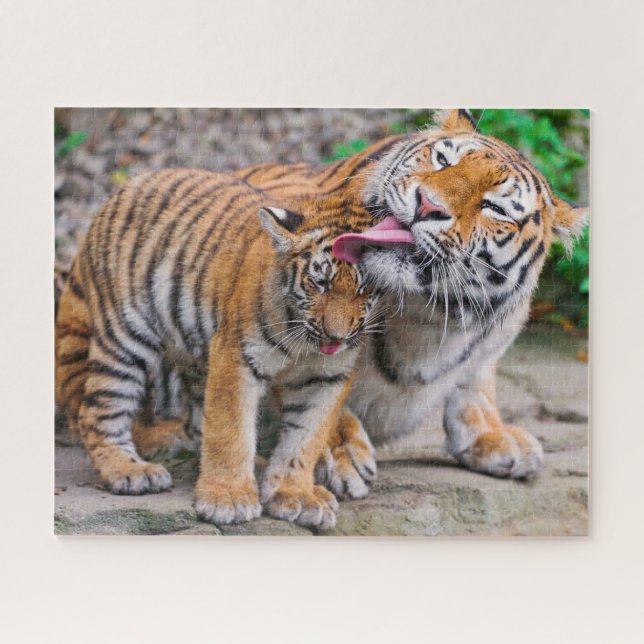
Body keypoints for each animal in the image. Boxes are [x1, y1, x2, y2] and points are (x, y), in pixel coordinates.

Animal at [55, 169, 380, 529]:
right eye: (320, 283)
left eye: (365, 288)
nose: (336, 337)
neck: (304, 343)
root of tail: (129, 185)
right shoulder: (237, 355)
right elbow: (230, 430)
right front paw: (228, 499)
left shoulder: (327, 377)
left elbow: (306, 438)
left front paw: (295, 494)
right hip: (124, 339)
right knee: (97, 411)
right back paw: (130, 471)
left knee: (197, 423)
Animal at [232, 108, 588, 484]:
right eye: (443, 160)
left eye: (495, 208)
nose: (427, 204)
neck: (425, 313)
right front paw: (341, 450)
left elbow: (476, 380)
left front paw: (493, 434)